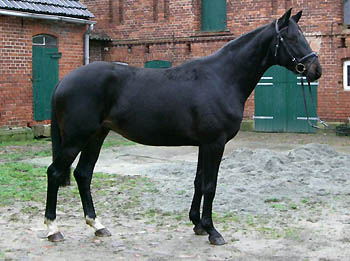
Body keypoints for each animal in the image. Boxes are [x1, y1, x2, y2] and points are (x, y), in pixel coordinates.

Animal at [45, 8, 322, 244]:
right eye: (291, 37)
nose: (315, 70)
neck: (222, 78)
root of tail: (63, 81)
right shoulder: (215, 143)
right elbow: (210, 185)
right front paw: (213, 231)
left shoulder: (203, 144)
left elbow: (199, 182)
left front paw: (198, 224)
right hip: (76, 139)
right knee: (54, 172)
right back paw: (53, 229)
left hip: (96, 136)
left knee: (83, 174)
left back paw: (97, 225)